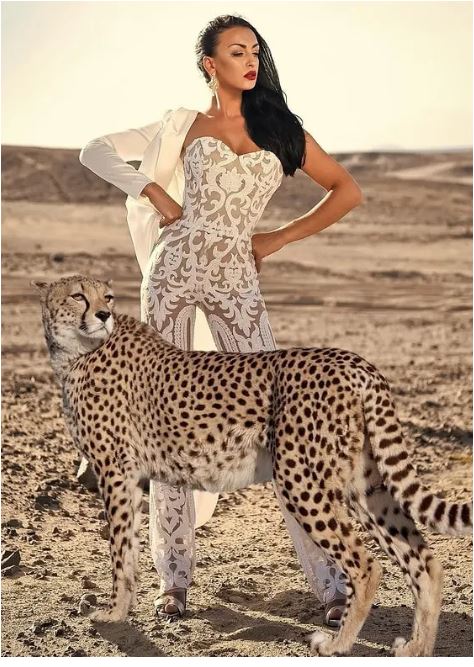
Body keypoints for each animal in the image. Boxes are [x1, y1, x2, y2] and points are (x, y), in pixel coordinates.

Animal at [31, 274, 472, 657]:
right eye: (78, 296)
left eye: (106, 296)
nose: (103, 314)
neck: (79, 351)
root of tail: (355, 362)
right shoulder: (133, 475)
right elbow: (131, 548)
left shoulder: (115, 472)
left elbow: (120, 551)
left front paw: (113, 614)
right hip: (366, 485)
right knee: (425, 560)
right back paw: (418, 647)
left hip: (300, 479)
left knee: (366, 564)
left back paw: (338, 643)